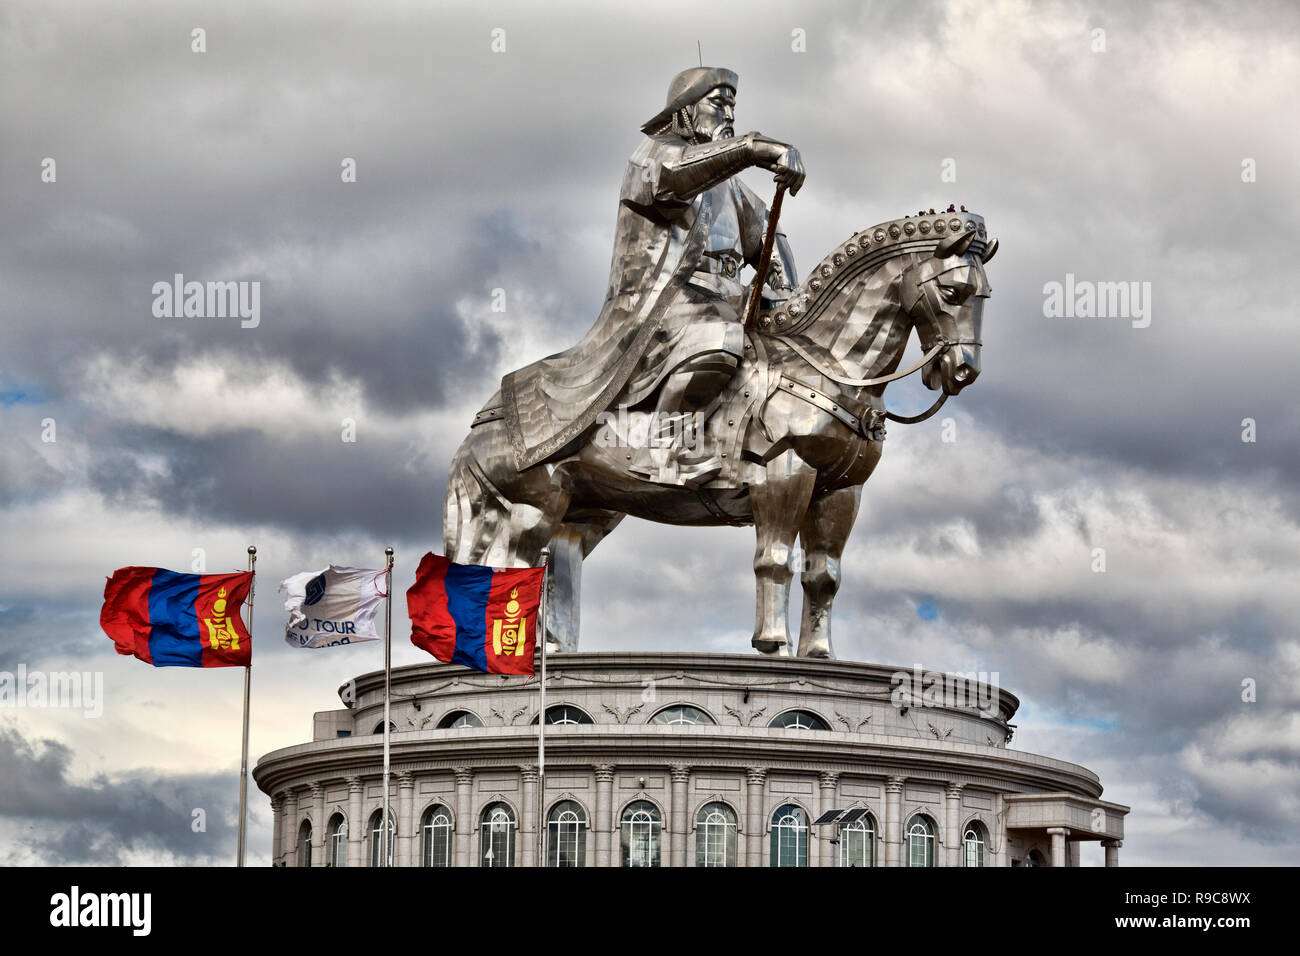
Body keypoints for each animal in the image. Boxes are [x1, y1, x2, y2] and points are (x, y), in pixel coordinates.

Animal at [441, 209, 998, 658]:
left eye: (985, 295)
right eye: (953, 291)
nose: (962, 371)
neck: (827, 365)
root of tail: (485, 418)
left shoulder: (842, 490)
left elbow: (824, 576)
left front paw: (819, 654)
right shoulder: (785, 471)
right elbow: (775, 560)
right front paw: (773, 644)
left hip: (585, 513)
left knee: (550, 571)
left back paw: (545, 651)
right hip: (536, 503)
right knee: (508, 570)